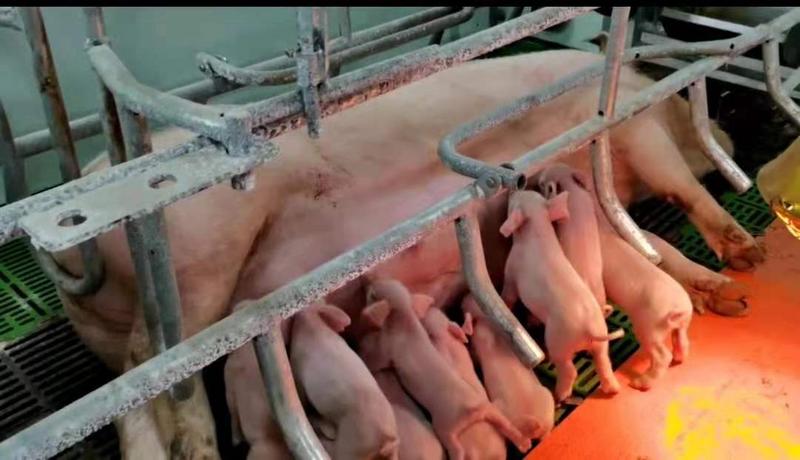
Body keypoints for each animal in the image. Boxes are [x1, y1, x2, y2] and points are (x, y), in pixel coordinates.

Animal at [499, 190, 624, 402]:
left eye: (514, 202)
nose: (515, 188)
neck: (538, 232)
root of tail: (589, 328)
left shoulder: (512, 271)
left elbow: (508, 294)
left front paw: (506, 305)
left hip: (558, 342)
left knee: (570, 370)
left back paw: (559, 396)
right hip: (601, 343)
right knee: (604, 362)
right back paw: (613, 390)